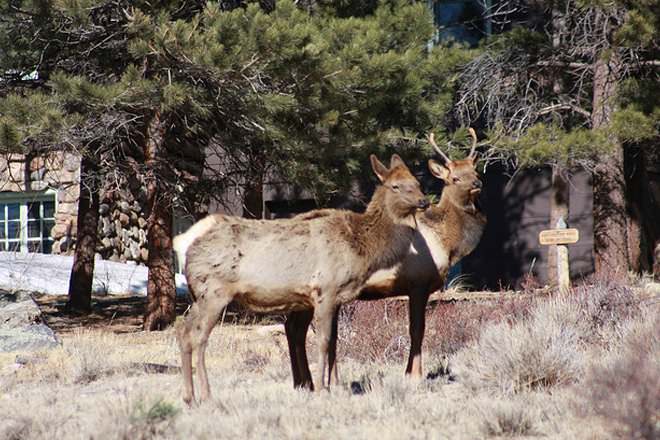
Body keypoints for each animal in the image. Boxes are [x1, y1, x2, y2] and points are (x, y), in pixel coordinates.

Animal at [173, 154, 428, 405]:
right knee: (199, 337)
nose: (424, 201)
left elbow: (333, 342)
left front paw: (331, 386)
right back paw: (206, 395)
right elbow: (323, 341)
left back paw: (188, 396)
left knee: (184, 331)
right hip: (214, 293)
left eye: (416, 183)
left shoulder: (332, 298)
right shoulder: (325, 290)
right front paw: (322, 389)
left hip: (199, 296)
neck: (362, 248)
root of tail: (186, 245)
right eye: (395, 186)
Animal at [285, 128, 487, 389]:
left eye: (474, 171)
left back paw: (303, 382)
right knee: (297, 330)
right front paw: (414, 375)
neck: (445, 241)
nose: (476, 184)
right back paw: (306, 382)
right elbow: (417, 330)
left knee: (292, 328)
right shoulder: (418, 283)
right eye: (455, 178)